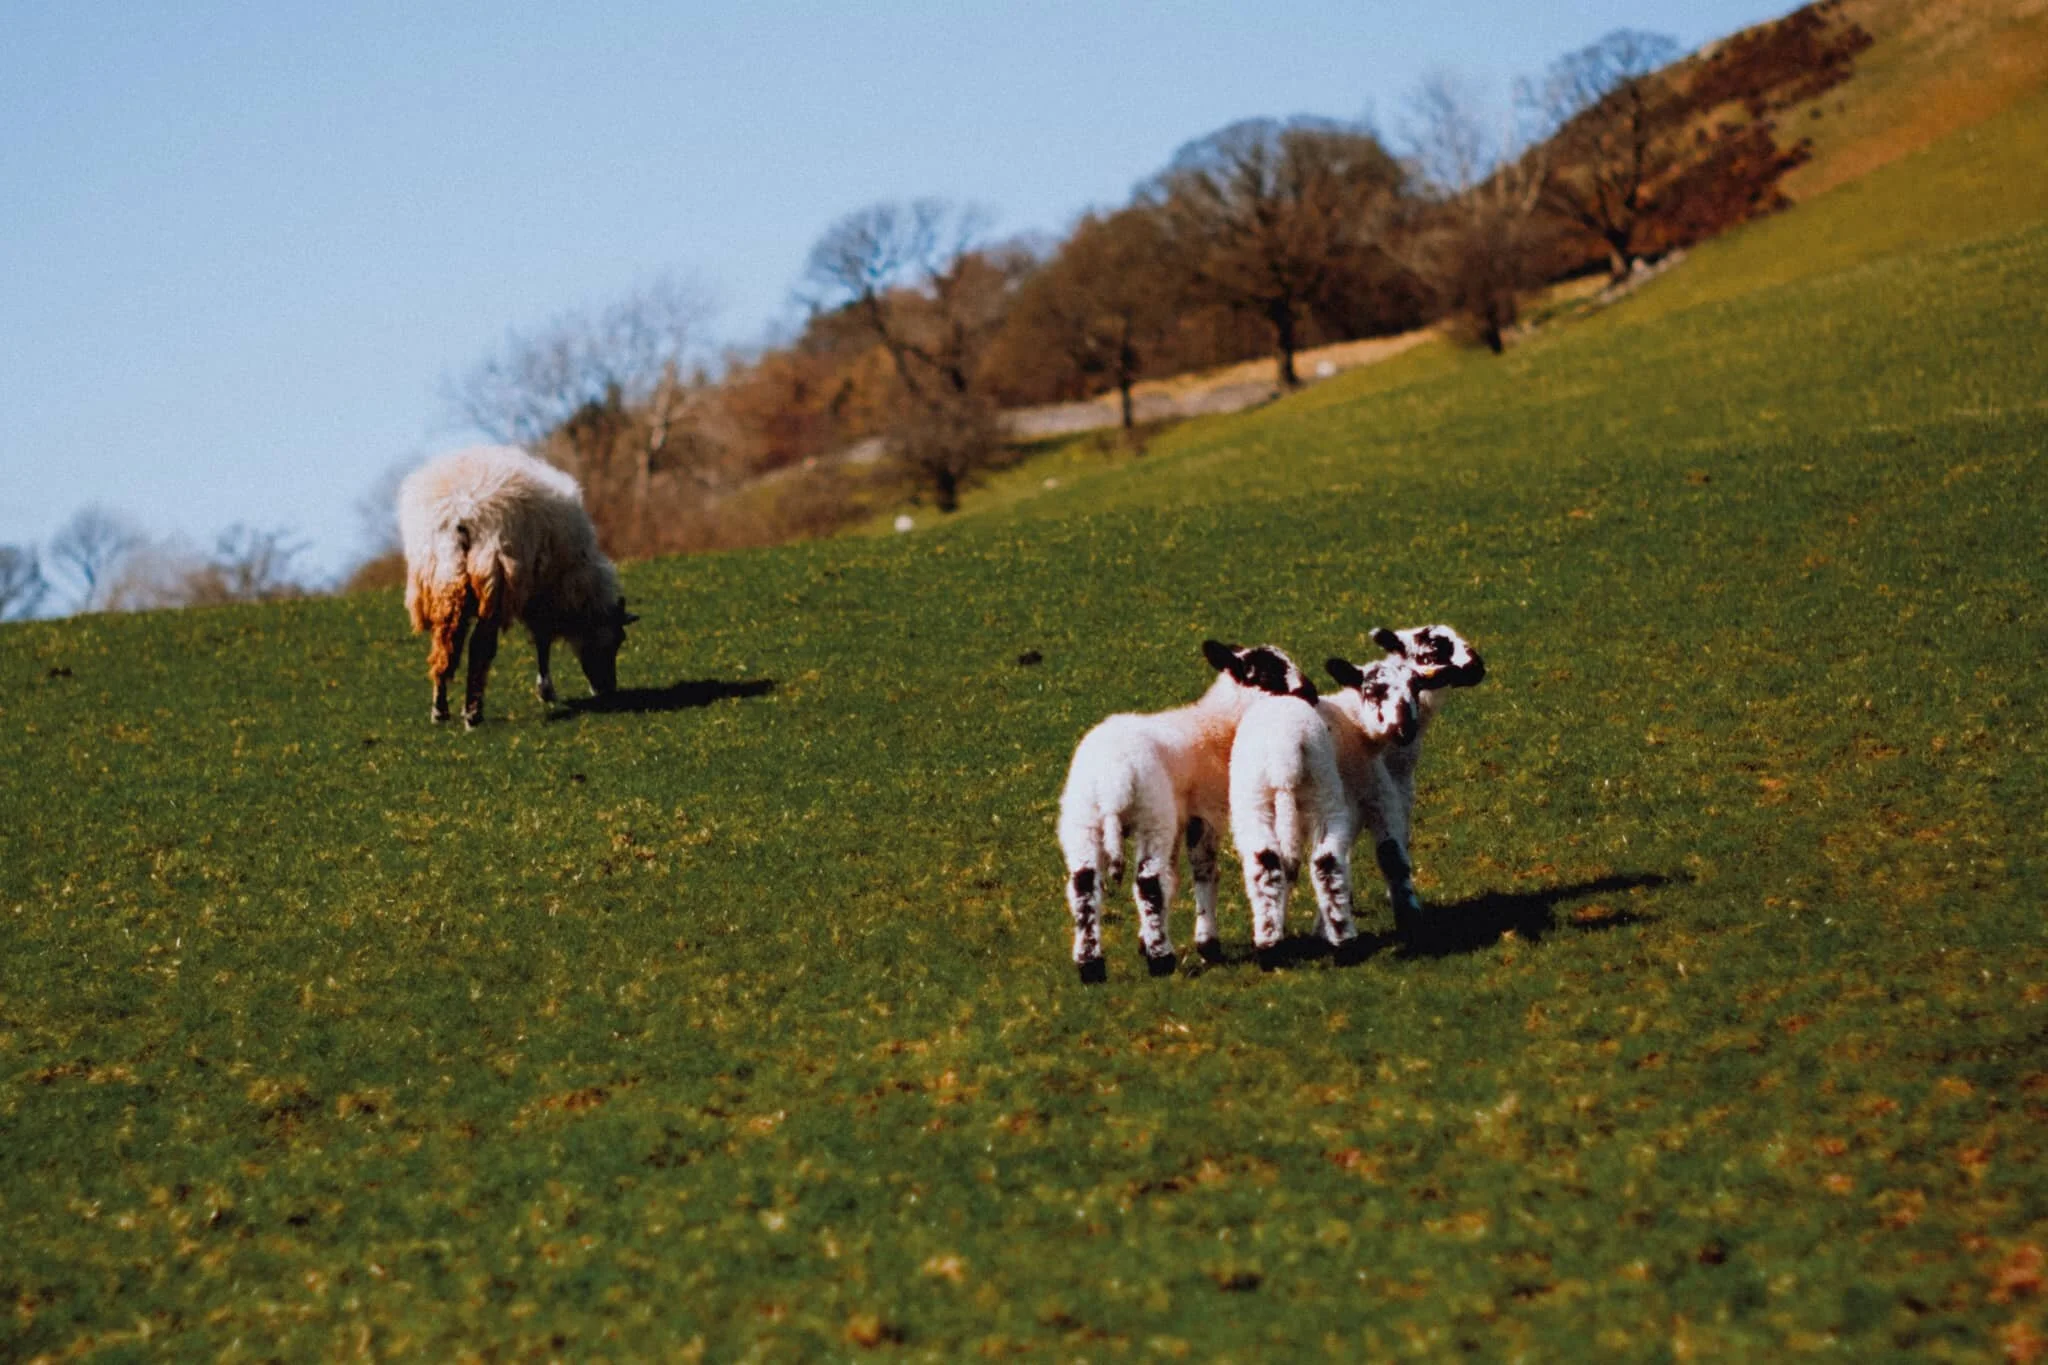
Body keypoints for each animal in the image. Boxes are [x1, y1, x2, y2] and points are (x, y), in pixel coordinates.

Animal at [399, 445, 638, 727]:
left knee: (444, 648)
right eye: (617, 640)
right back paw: (473, 714)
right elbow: (542, 640)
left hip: (445, 582)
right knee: (480, 647)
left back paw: (440, 710)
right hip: (494, 578)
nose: (607, 689)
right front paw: (545, 690)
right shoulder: (542, 593)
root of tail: (461, 512)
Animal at [1057, 640, 1317, 983]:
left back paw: (1090, 966)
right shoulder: (1204, 814)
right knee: (1147, 883)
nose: (1311, 693)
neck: (1217, 726)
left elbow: (1172, 878)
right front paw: (1207, 944)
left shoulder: (1180, 820)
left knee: (1083, 885)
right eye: (1268, 673)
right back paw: (1161, 961)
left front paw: (1145, 940)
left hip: (1082, 819)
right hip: (1152, 814)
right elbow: (1203, 871)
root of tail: (1111, 778)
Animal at [1229, 653, 1424, 963]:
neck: (1355, 724)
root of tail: (1283, 752)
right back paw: (1345, 943)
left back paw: (1269, 947)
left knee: (1265, 860)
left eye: (1416, 687)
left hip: (1251, 798)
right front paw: (1409, 918)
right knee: (1325, 861)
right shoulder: (1377, 796)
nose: (1405, 730)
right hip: (1324, 796)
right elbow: (1392, 855)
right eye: (1373, 690)